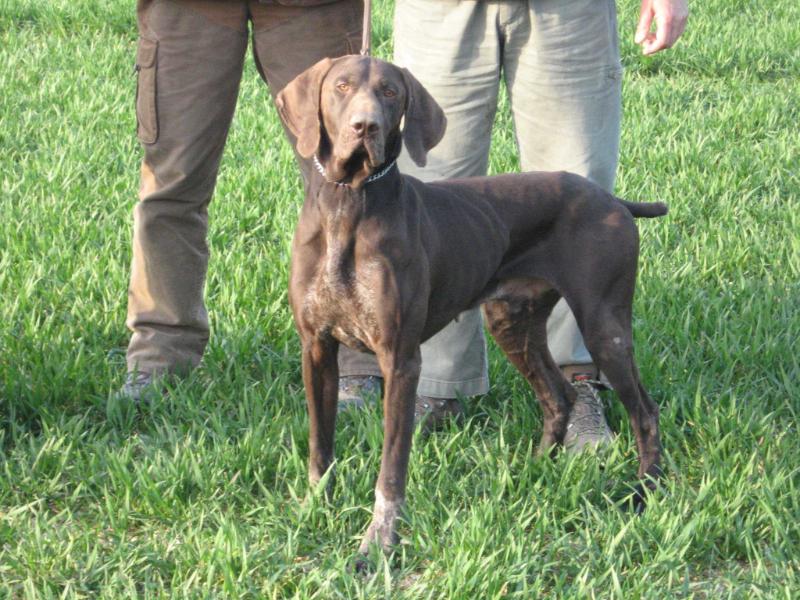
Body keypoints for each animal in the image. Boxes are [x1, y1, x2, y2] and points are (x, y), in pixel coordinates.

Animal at [278, 55, 664, 556]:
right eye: (341, 87)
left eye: (389, 92)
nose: (365, 126)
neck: (348, 202)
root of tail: (613, 200)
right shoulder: (317, 349)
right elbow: (319, 445)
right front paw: (314, 508)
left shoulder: (400, 360)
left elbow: (391, 468)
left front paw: (379, 540)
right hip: (511, 321)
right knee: (558, 395)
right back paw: (534, 469)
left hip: (605, 325)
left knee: (644, 413)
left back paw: (644, 492)